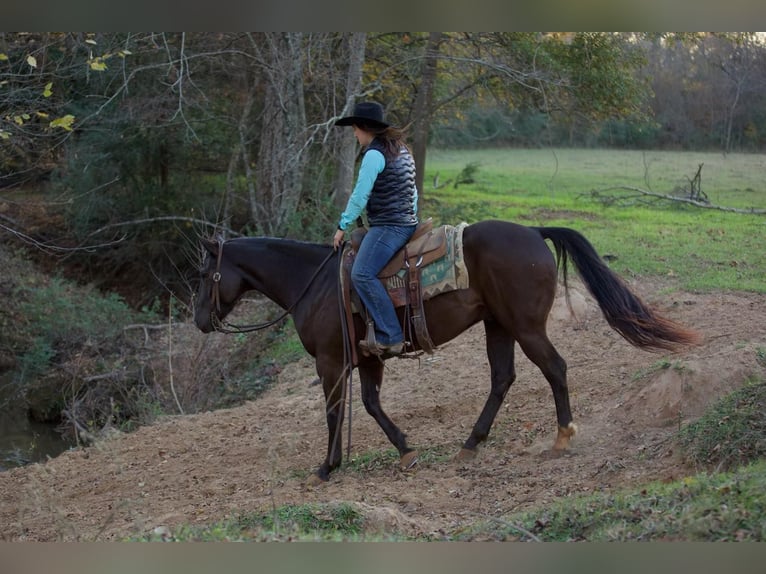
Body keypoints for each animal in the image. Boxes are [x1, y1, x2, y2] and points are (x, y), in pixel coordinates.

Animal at [194, 219, 704, 486]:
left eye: (203, 274)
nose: (200, 320)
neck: (314, 283)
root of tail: (534, 230)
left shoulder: (331, 362)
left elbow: (336, 411)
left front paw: (326, 467)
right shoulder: (369, 359)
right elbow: (371, 405)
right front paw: (405, 451)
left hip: (525, 327)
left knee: (554, 368)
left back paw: (561, 438)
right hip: (498, 326)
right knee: (502, 378)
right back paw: (471, 444)